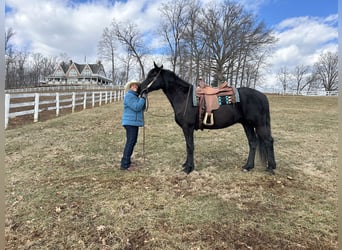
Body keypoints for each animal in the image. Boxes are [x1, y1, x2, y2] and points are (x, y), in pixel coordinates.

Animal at [139, 63, 276, 174]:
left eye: (153, 75)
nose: (140, 88)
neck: (184, 97)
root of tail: (262, 96)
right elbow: (188, 145)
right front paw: (186, 164)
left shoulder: (187, 127)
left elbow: (190, 146)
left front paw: (188, 168)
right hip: (247, 124)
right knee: (253, 143)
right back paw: (248, 166)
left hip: (259, 124)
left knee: (268, 141)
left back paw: (270, 168)